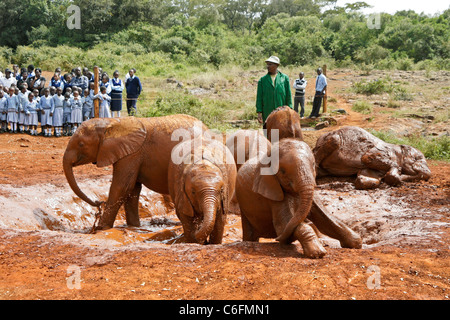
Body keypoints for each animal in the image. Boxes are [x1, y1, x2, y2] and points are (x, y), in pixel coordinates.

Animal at [62, 115, 207, 230]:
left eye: (81, 144)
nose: (98, 203)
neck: (111, 122)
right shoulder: (130, 153)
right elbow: (132, 190)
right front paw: (134, 226)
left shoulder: (132, 154)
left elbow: (121, 186)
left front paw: (101, 228)